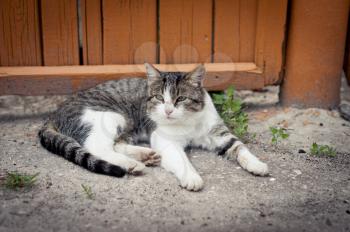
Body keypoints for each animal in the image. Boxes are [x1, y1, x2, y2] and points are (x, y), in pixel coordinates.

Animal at [39, 63, 268, 190]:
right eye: (159, 97)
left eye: (180, 99)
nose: (167, 110)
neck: (190, 121)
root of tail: (54, 113)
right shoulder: (165, 140)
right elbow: (182, 161)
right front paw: (192, 177)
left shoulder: (218, 133)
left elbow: (239, 147)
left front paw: (256, 164)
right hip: (109, 117)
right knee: (98, 147)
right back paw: (132, 164)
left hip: (127, 125)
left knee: (117, 144)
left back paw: (144, 156)